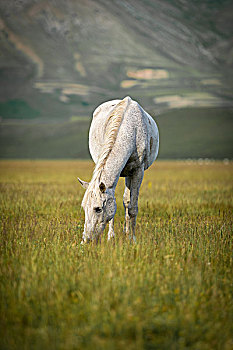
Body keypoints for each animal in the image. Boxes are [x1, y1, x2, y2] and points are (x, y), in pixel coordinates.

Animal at [78, 95, 158, 243]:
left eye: (98, 209)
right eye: (83, 207)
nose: (86, 241)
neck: (130, 130)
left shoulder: (137, 171)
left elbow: (132, 207)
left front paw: (132, 239)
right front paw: (111, 237)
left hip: (129, 175)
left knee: (127, 202)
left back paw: (127, 233)